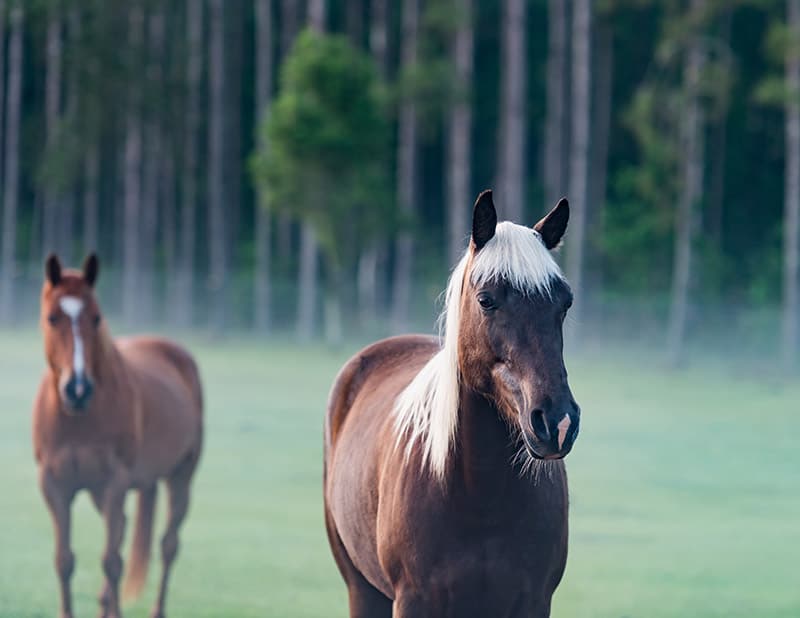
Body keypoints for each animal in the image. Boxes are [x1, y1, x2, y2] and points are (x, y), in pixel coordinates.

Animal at [32, 253, 203, 618]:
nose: (78, 389)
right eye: (52, 317)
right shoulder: (55, 486)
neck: (78, 420)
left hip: (180, 477)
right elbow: (64, 561)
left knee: (168, 546)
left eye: (96, 317)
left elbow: (112, 562)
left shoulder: (115, 484)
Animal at [324, 190, 580, 617]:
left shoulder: (533, 601)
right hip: (360, 588)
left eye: (565, 303)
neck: (480, 494)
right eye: (486, 300)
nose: (557, 422)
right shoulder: (412, 601)